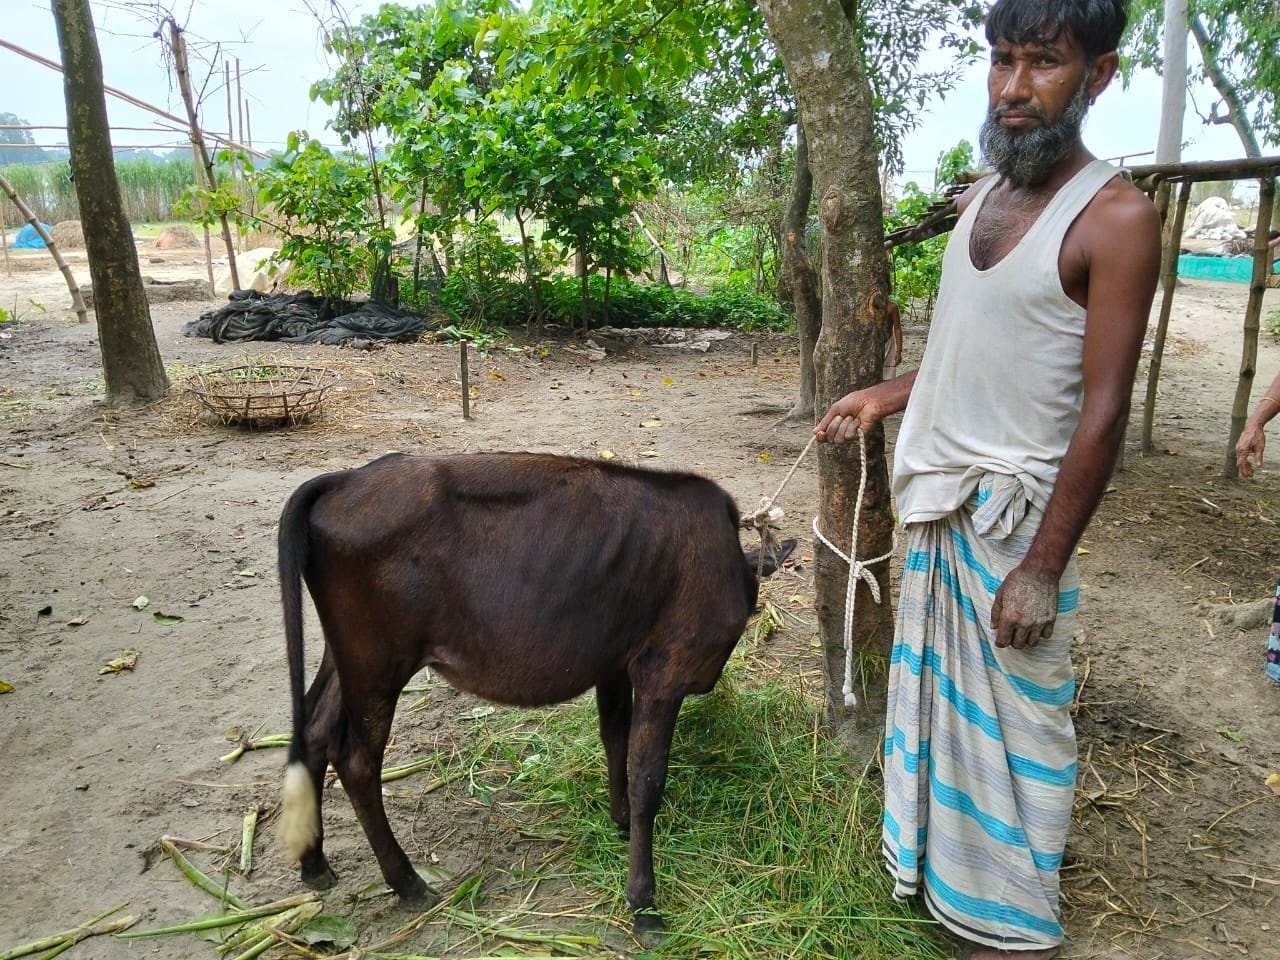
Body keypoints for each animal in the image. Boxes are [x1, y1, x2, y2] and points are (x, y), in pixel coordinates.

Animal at [275, 452, 793, 935]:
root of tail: (345, 478)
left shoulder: (614, 661)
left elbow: (615, 737)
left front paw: (620, 821)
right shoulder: (664, 671)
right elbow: (648, 778)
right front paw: (644, 904)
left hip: (346, 657)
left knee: (315, 729)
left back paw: (315, 863)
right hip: (379, 661)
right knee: (357, 761)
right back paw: (407, 883)